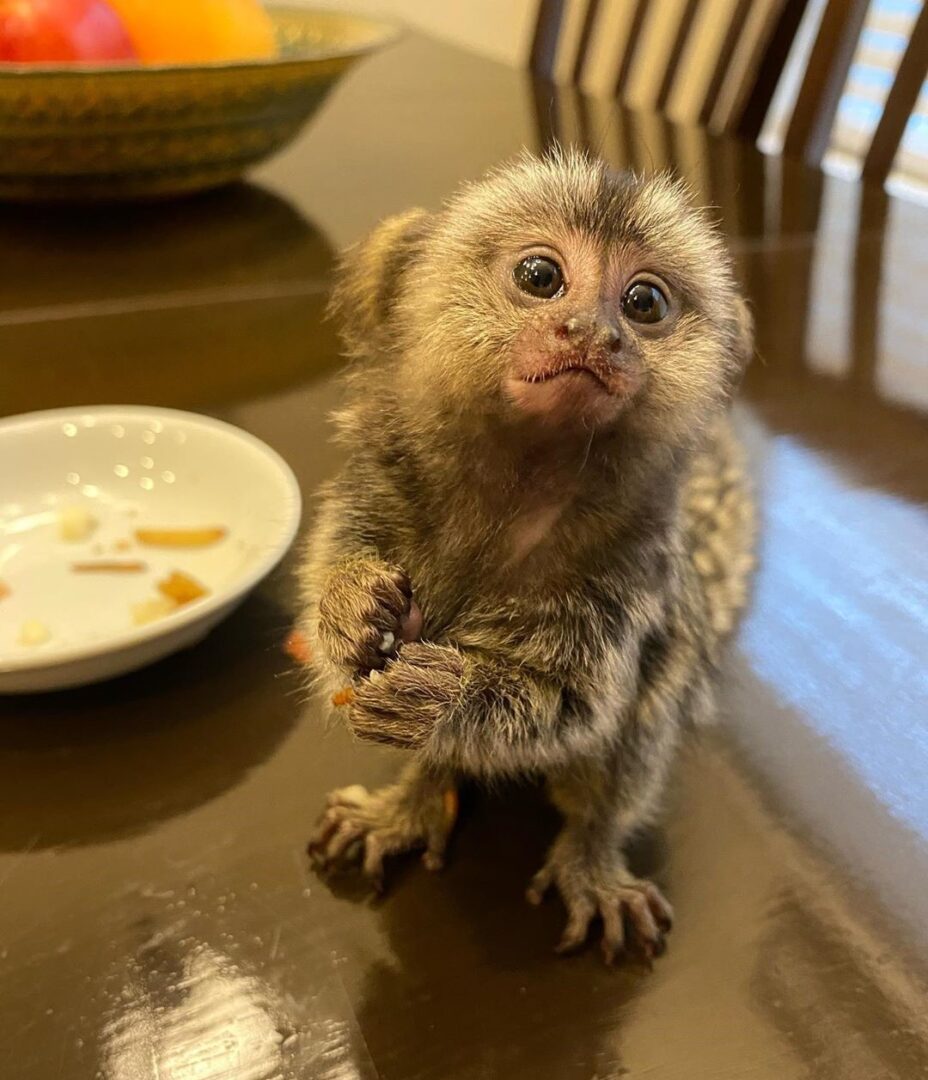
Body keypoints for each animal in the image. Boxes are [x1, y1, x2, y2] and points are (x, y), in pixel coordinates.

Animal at [300, 148, 755, 964]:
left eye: (644, 302)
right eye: (541, 277)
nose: (594, 333)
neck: (517, 485)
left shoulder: (625, 571)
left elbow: (571, 703)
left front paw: (440, 695)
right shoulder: (375, 491)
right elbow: (333, 592)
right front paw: (351, 608)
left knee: (640, 723)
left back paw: (591, 856)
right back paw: (408, 803)